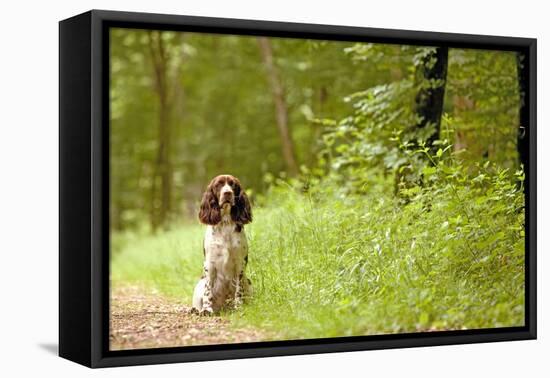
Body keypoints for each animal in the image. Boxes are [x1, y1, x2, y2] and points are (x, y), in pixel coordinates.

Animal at [193, 175, 253, 316]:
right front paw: (207, 309)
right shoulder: (209, 264)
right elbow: (208, 290)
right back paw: (195, 310)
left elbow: (239, 290)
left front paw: (238, 307)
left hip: (249, 283)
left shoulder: (240, 263)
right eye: (219, 185)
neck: (225, 222)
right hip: (199, 284)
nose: (227, 193)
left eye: (233, 184)